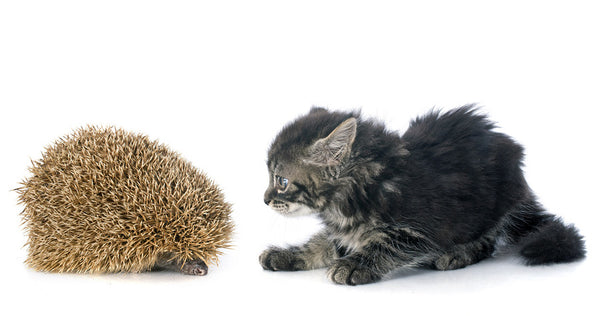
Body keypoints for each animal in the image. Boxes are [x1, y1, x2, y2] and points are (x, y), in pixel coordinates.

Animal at [258, 107, 584, 286]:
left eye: (281, 181)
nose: (264, 199)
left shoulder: (417, 230)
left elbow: (384, 244)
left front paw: (354, 265)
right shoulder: (343, 231)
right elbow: (321, 244)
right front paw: (287, 254)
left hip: (487, 208)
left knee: (488, 241)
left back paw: (457, 254)